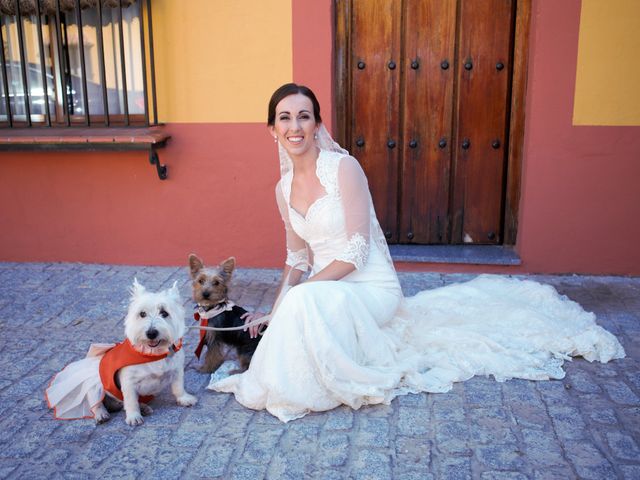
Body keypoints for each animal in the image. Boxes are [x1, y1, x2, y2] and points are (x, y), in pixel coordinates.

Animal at [46, 280, 196, 426]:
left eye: (164, 313)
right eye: (142, 314)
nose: (151, 333)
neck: (152, 354)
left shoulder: (177, 370)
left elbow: (178, 386)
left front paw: (184, 398)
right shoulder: (128, 382)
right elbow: (130, 401)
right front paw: (133, 416)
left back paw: (143, 407)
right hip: (95, 384)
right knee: (96, 402)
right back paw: (102, 414)